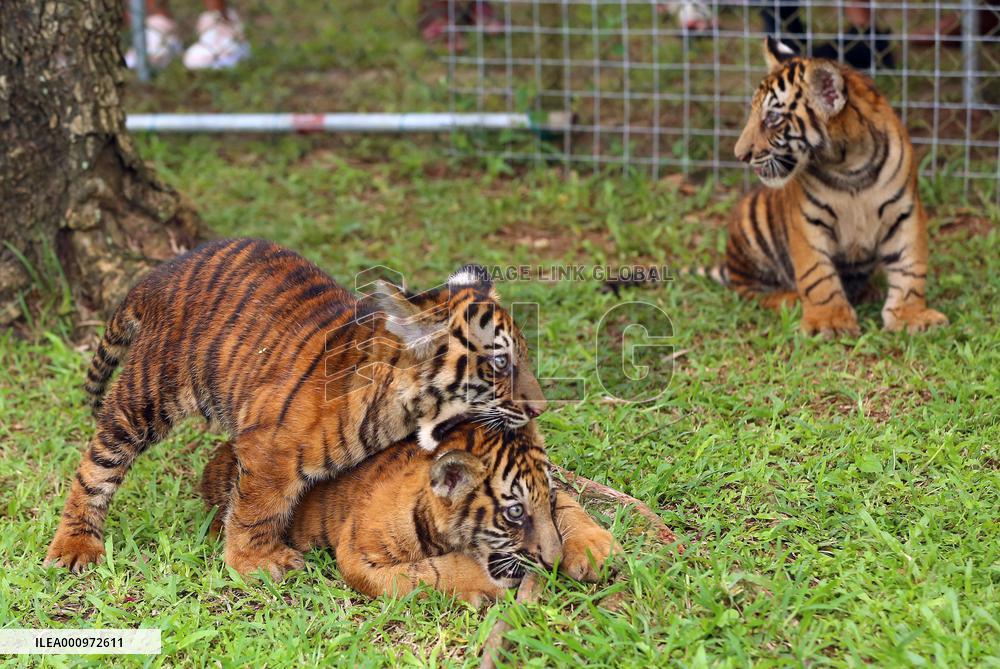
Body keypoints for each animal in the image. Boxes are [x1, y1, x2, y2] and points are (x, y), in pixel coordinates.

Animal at [46, 238, 547, 580]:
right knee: (97, 465)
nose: (540, 408)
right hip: (147, 395)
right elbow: (258, 506)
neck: (402, 411)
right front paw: (255, 563)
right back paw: (74, 545)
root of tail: (161, 274)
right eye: (501, 363)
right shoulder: (269, 448)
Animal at [199, 421, 618, 604]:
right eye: (514, 513)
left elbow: (570, 506)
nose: (552, 561)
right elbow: (427, 573)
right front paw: (484, 584)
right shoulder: (357, 554)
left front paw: (594, 549)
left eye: (546, 502)